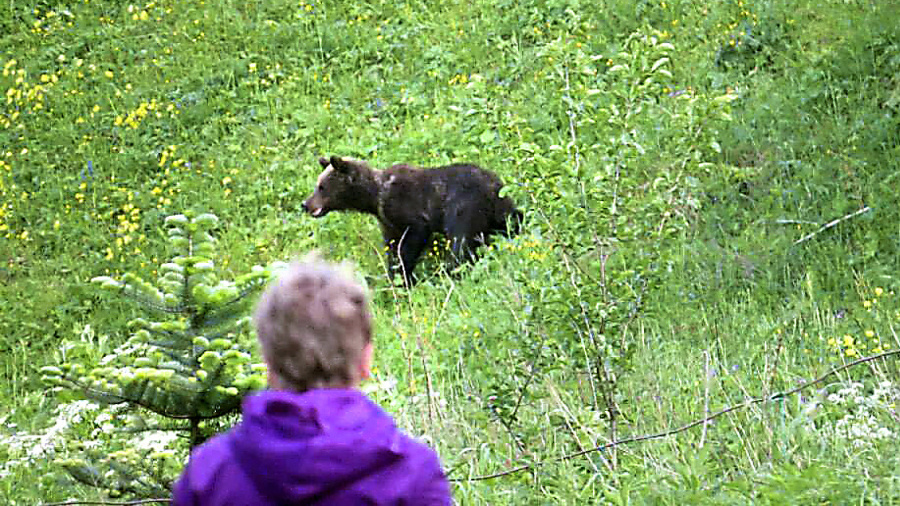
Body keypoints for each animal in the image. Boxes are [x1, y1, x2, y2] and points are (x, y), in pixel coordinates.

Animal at [304, 156, 520, 284]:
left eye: (321, 187)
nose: (305, 204)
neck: (376, 197)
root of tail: (493, 186)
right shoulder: (388, 222)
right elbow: (392, 246)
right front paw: (393, 275)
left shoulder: (408, 210)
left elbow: (411, 241)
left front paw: (404, 275)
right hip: (500, 208)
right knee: (512, 220)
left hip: (465, 206)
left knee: (461, 243)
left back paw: (451, 272)